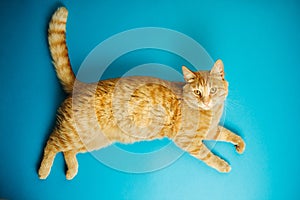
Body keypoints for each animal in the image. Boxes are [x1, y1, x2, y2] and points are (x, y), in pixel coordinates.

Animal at [38, 7, 245, 180]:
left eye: (213, 90)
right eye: (197, 92)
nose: (206, 101)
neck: (209, 113)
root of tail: (81, 85)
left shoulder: (211, 131)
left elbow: (228, 133)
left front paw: (240, 144)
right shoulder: (188, 141)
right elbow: (208, 156)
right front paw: (223, 165)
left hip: (91, 140)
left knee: (68, 151)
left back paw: (71, 171)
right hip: (73, 134)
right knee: (52, 143)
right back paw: (43, 171)